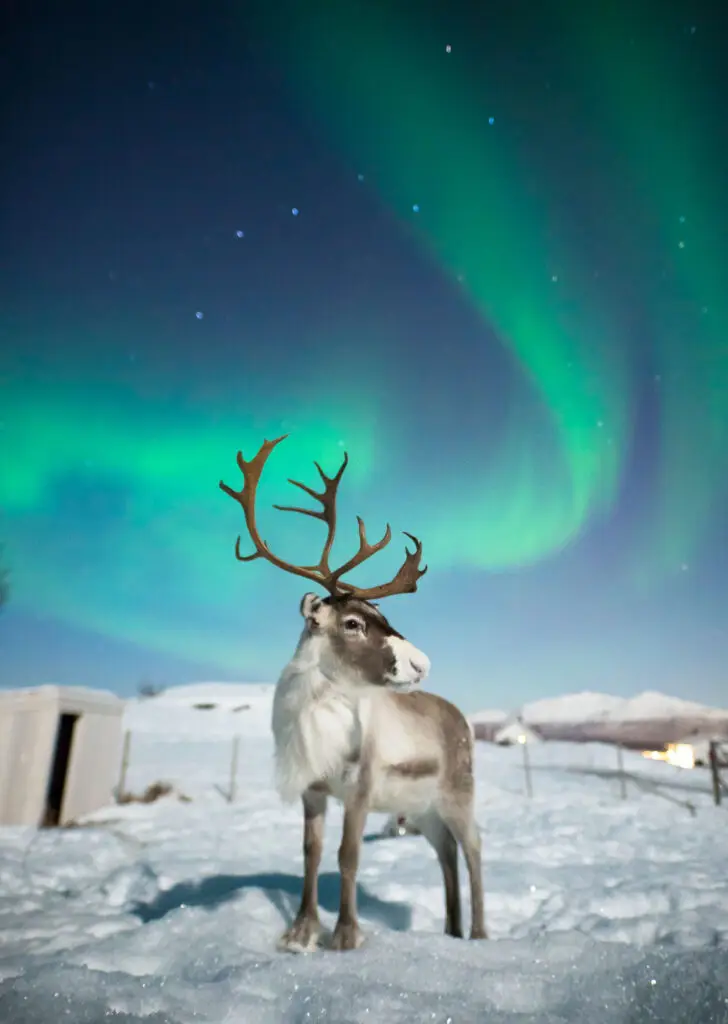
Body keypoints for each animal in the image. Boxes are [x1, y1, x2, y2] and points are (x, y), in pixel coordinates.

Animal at [220, 436, 486, 952]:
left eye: (383, 615)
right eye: (353, 622)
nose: (423, 663)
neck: (317, 713)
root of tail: (461, 716)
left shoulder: (360, 788)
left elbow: (347, 855)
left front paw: (345, 935)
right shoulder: (313, 788)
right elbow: (311, 851)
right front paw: (300, 933)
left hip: (457, 794)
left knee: (474, 848)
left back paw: (480, 934)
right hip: (422, 809)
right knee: (445, 853)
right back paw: (451, 931)